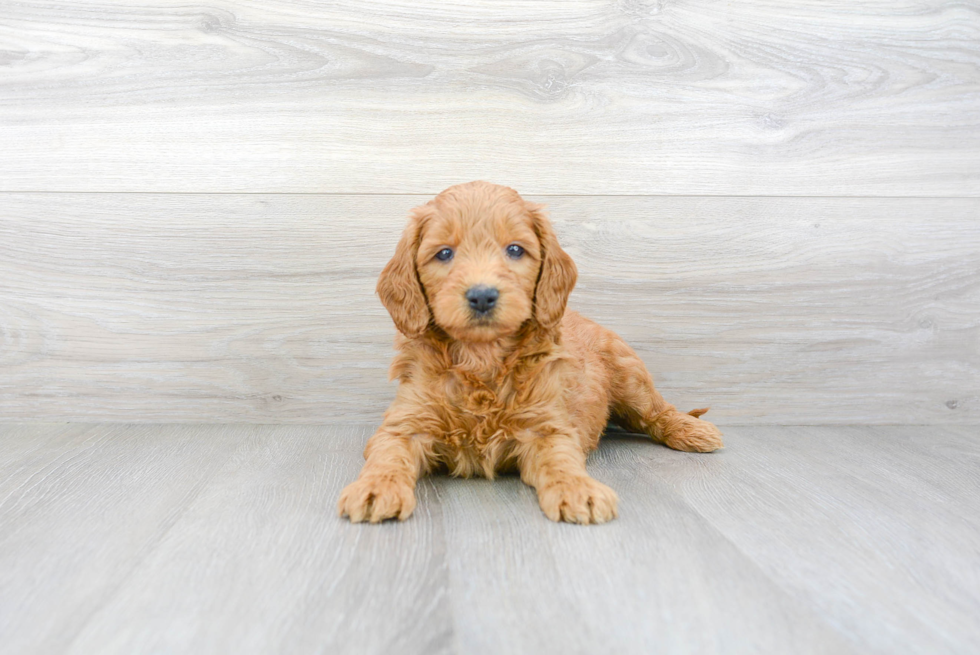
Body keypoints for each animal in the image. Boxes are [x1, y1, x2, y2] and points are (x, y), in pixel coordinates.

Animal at [340, 182, 724, 524]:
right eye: (444, 253)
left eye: (514, 250)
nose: (482, 295)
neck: (482, 358)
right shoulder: (406, 424)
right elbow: (387, 457)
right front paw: (374, 489)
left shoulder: (547, 427)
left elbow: (561, 462)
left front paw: (578, 490)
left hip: (629, 374)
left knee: (656, 411)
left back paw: (693, 431)